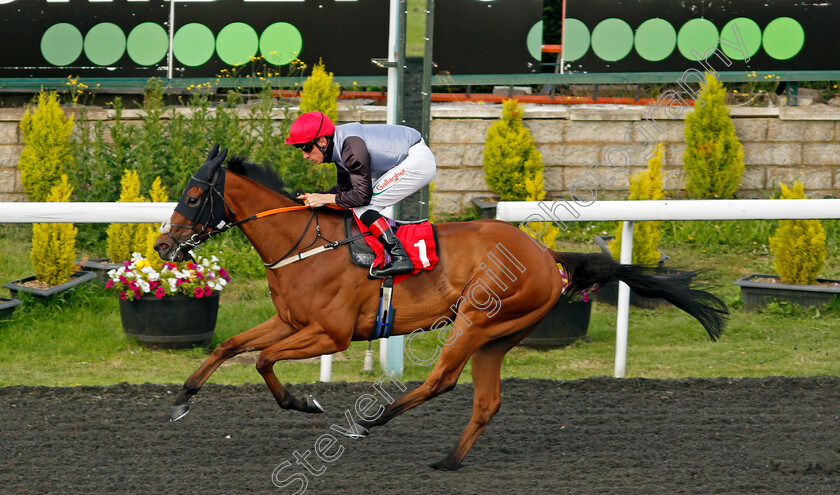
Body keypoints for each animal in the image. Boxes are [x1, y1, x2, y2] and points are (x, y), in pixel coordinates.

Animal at [153, 145, 728, 470]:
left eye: (193, 196)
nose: (162, 246)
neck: (304, 242)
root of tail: (547, 257)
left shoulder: (330, 334)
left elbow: (262, 360)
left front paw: (304, 401)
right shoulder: (289, 320)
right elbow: (230, 346)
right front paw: (182, 398)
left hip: (475, 320)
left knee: (442, 381)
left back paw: (373, 420)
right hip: (499, 336)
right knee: (486, 400)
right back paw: (449, 461)